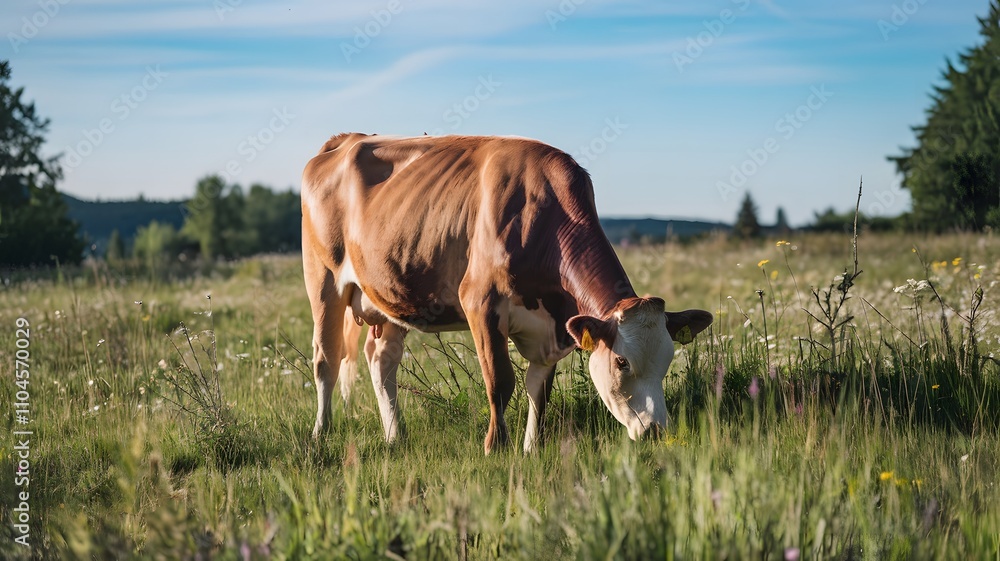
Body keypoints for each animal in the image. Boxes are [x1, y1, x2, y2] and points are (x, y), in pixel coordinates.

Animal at [301, 133, 712, 454]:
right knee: (326, 359)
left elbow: (539, 389)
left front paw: (532, 448)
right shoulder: (480, 304)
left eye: (668, 357)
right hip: (323, 281)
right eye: (622, 362)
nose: (656, 431)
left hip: (391, 291)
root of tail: (346, 140)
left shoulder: (556, 326)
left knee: (381, 360)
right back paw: (321, 433)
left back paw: (394, 436)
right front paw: (495, 447)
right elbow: (500, 382)